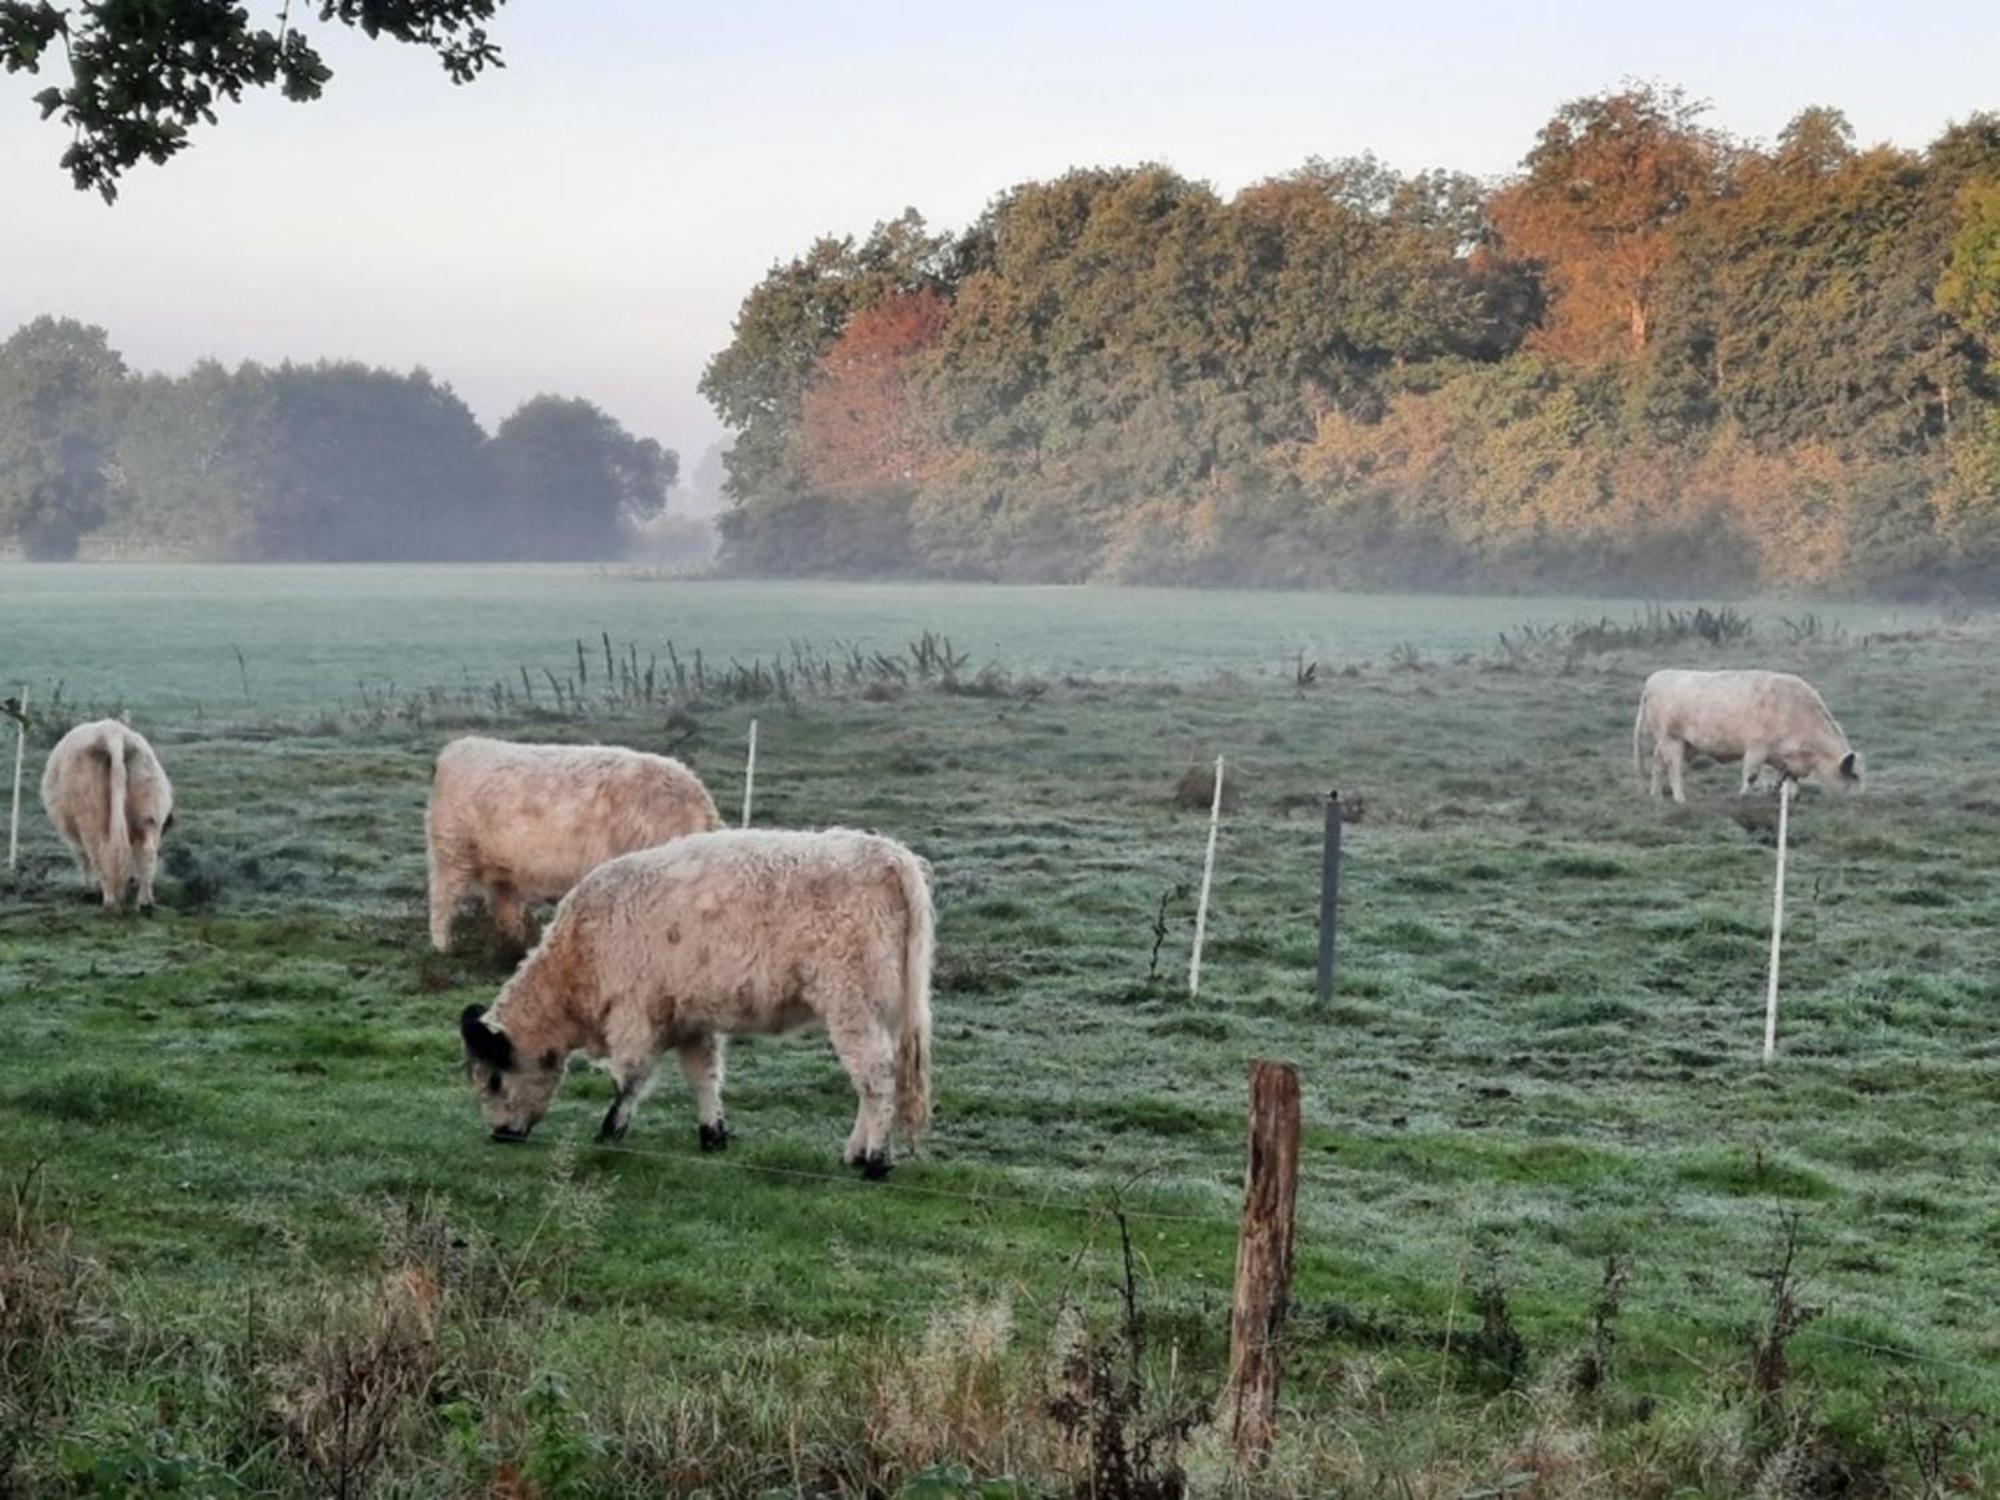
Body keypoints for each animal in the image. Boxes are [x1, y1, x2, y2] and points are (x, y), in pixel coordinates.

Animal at [41, 720, 176, 916]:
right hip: (150, 814)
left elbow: (83, 859)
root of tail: (112, 730)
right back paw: (145, 903)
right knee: (148, 852)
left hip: (90, 817)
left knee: (99, 854)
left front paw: (88, 890)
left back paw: (110, 902)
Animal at [426, 736, 724, 952]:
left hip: (502, 870)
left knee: (505, 907)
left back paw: (514, 946)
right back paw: (443, 947)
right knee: (443, 899)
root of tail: (457, 748)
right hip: (451, 851)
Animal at [460, 828, 936, 1184]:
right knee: (873, 1082)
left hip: (852, 1006)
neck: (578, 954)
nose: (499, 1134)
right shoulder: (691, 1021)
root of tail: (886, 853)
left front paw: (610, 1130)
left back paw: (875, 1160)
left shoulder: (634, 1017)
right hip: (879, 1013)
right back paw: (856, 1153)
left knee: (877, 1078)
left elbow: (630, 1079)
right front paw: (713, 1134)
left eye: (495, 1081)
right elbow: (703, 1077)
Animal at [1632, 672, 1864, 804]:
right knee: (1674, 768)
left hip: (1683, 745)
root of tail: (1654, 679)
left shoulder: (1786, 758)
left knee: (1658, 763)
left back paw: (1656, 796)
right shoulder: (1756, 748)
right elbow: (1751, 775)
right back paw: (1679, 798)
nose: (1861, 802)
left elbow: (1790, 779)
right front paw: (1743, 796)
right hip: (1672, 740)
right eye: (1853, 776)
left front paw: (1792, 799)